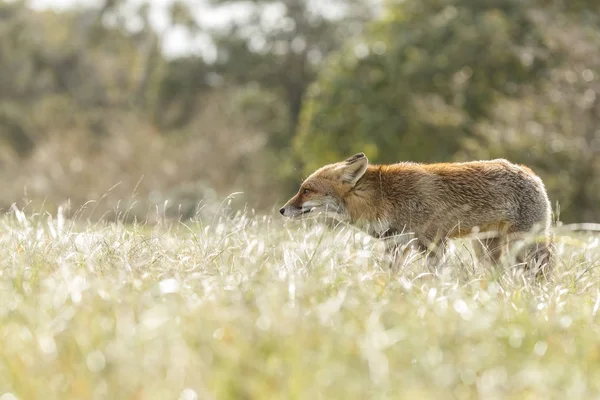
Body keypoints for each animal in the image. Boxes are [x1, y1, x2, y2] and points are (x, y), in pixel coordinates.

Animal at [280, 152, 552, 276]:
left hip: (522, 246)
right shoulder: (397, 244)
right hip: (485, 250)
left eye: (306, 191)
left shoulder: (433, 243)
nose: (282, 210)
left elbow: (433, 276)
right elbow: (389, 273)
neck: (384, 199)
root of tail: (530, 172)